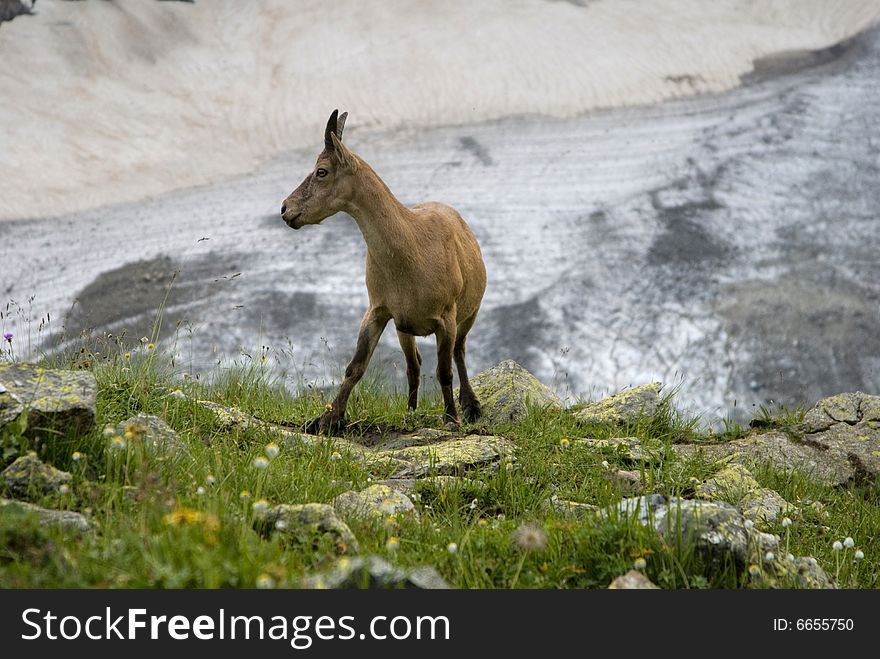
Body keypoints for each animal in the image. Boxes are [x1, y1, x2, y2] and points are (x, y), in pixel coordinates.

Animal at [282, 111, 488, 436]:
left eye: (321, 171)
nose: (285, 209)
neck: (410, 252)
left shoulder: (447, 316)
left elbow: (444, 371)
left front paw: (451, 419)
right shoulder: (378, 309)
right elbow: (355, 366)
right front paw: (326, 420)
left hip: (470, 313)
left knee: (459, 352)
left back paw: (470, 406)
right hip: (405, 328)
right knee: (414, 365)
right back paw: (411, 411)